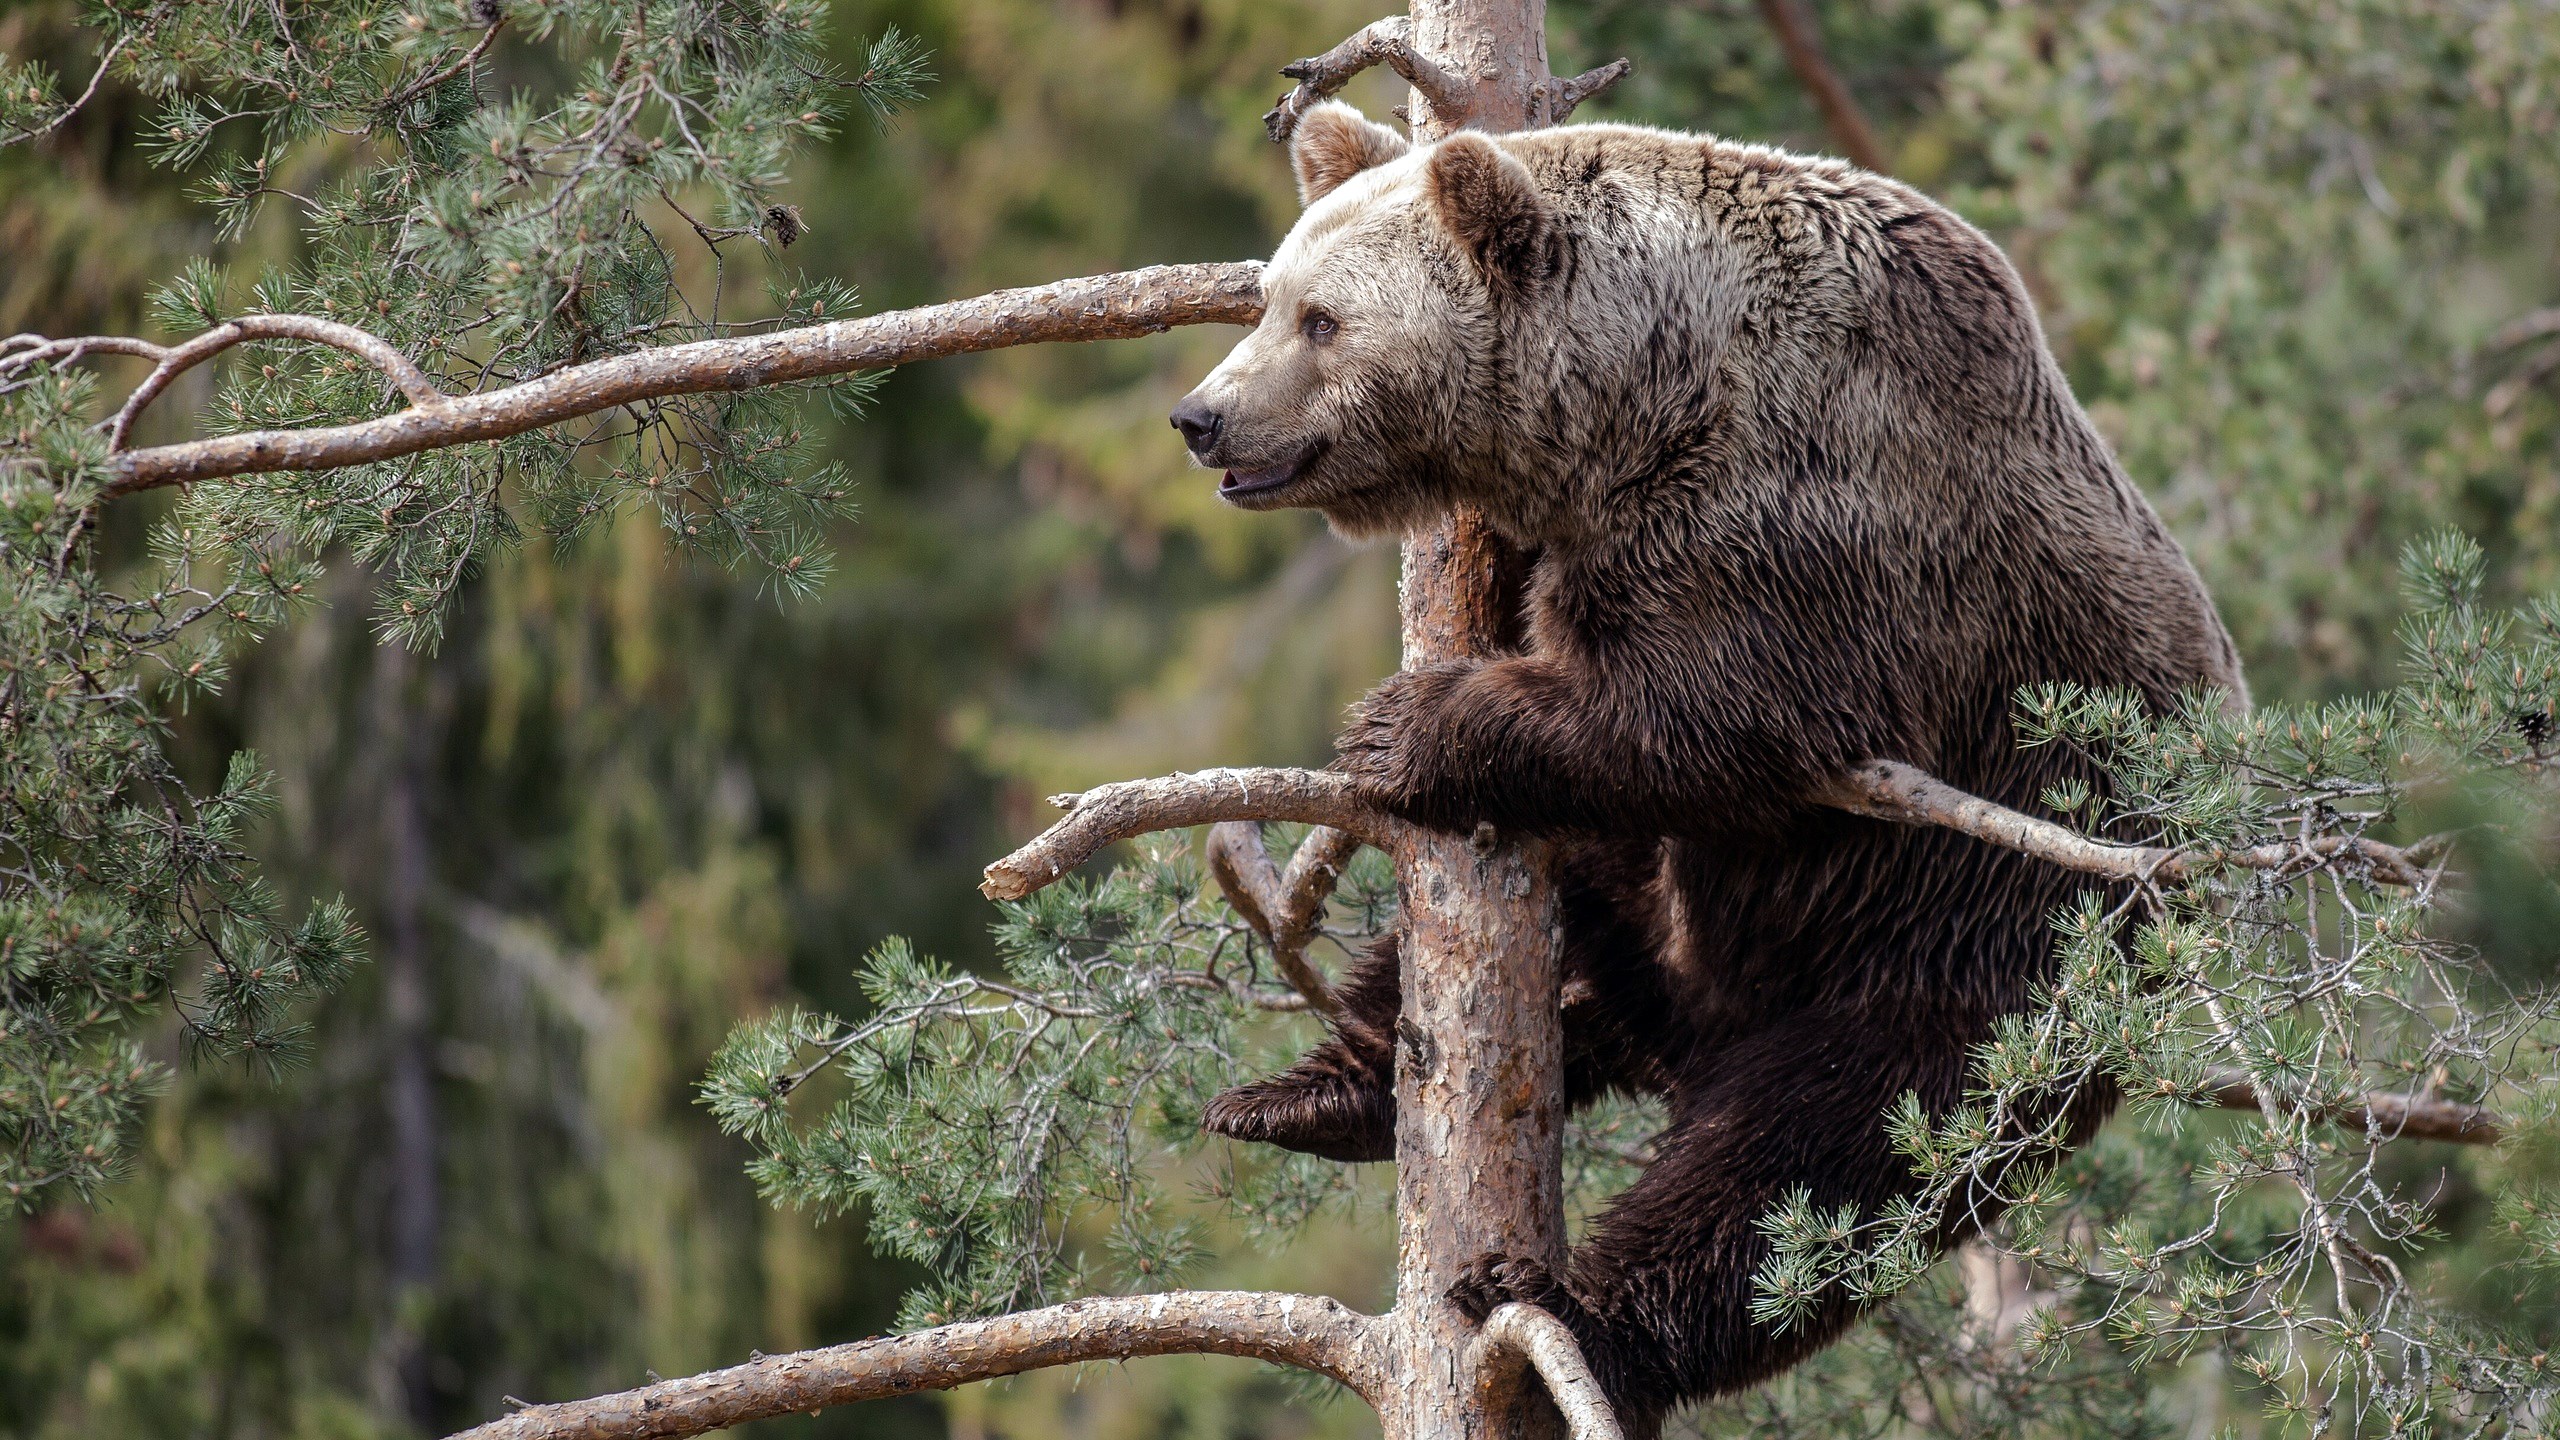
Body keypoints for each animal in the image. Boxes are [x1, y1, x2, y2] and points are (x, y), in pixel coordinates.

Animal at [1167, 101, 2244, 1435]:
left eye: (1320, 319)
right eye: (1268, 298)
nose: (1201, 416)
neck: (1643, 393)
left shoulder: (1804, 519)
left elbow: (1713, 713)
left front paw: (1402, 724)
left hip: (1985, 945)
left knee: (1807, 1173)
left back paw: (1569, 1311)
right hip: (1682, 907)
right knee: (1534, 935)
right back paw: (1314, 1093)